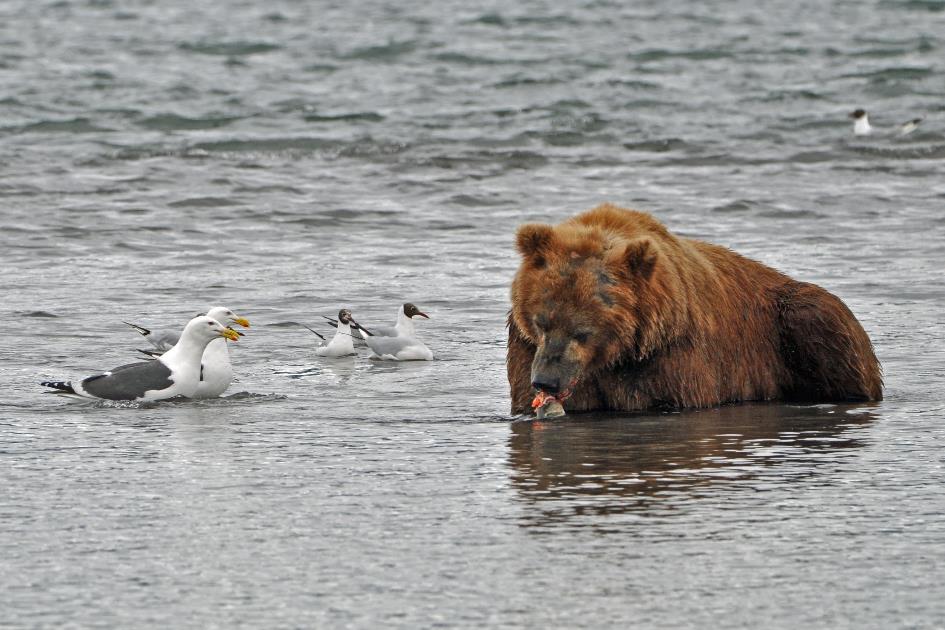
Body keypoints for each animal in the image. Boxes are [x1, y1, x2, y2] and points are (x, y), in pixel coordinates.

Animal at [506, 205, 880, 418]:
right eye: (541, 322)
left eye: (583, 331)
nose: (547, 380)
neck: (618, 354)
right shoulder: (524, 346)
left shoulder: (671, 356)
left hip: (794, 319)